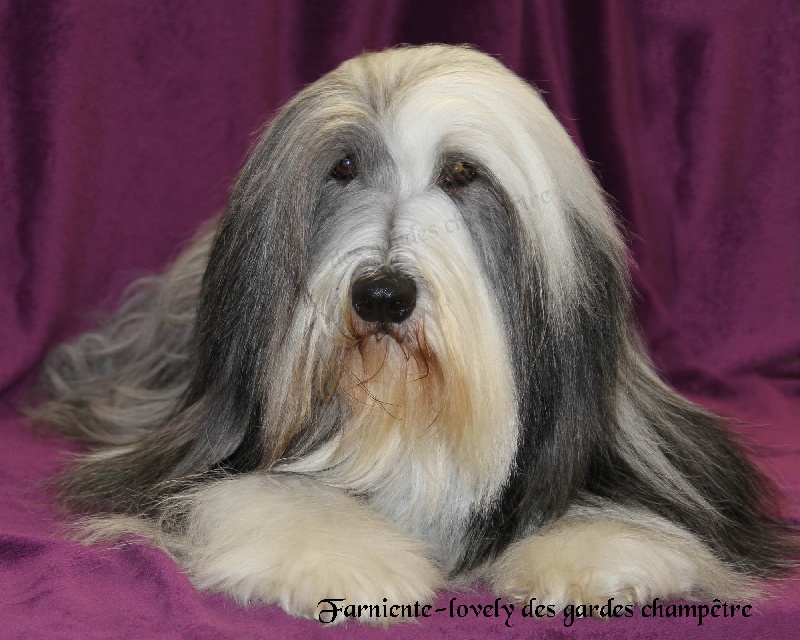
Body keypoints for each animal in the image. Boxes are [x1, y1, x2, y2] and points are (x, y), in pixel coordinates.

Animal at [35, 44, 795, 623]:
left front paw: (592, 558)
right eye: (342, 167)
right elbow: (266, 493)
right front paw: (346, 562)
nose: (381, 295)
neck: (408, 424)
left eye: (462, 173)